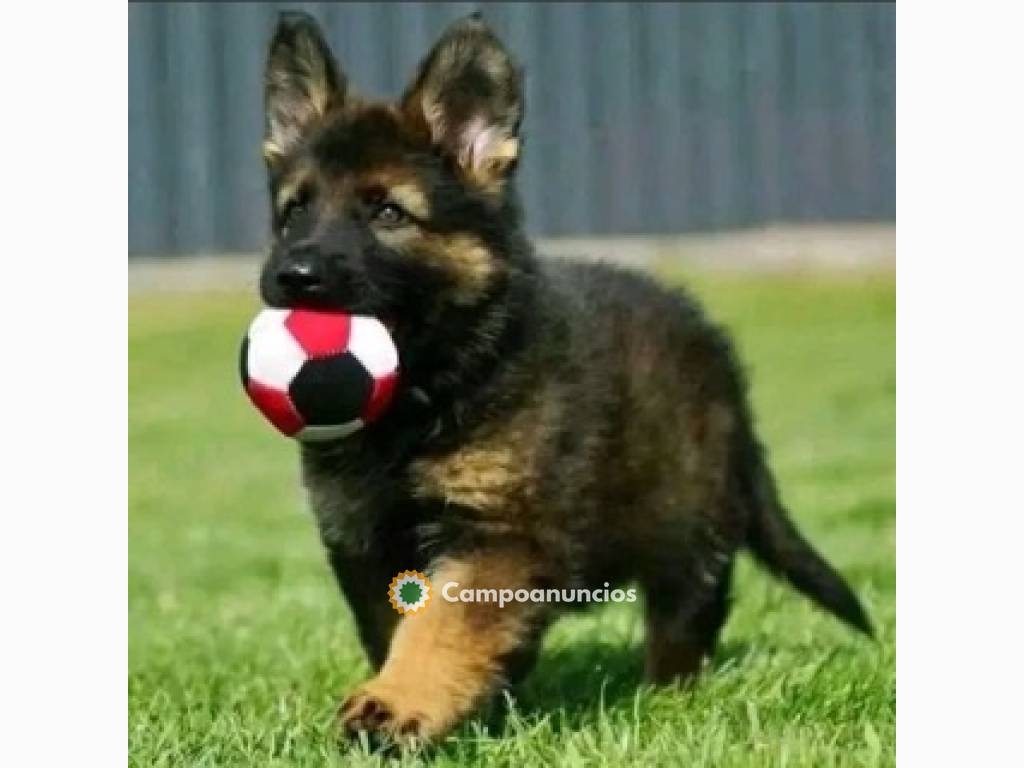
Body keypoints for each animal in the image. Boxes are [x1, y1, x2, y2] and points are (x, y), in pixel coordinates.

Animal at [258, 10, 872, 745]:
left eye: (387, 213)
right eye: (294, 211)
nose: (292, 276)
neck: (428, 393)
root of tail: (716, 351)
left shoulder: (501, 533)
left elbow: (439, 628)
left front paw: (396, 703)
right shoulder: (361, 538)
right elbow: (400, 626)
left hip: (686, 526)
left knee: (688, 615)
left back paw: (667, 697)